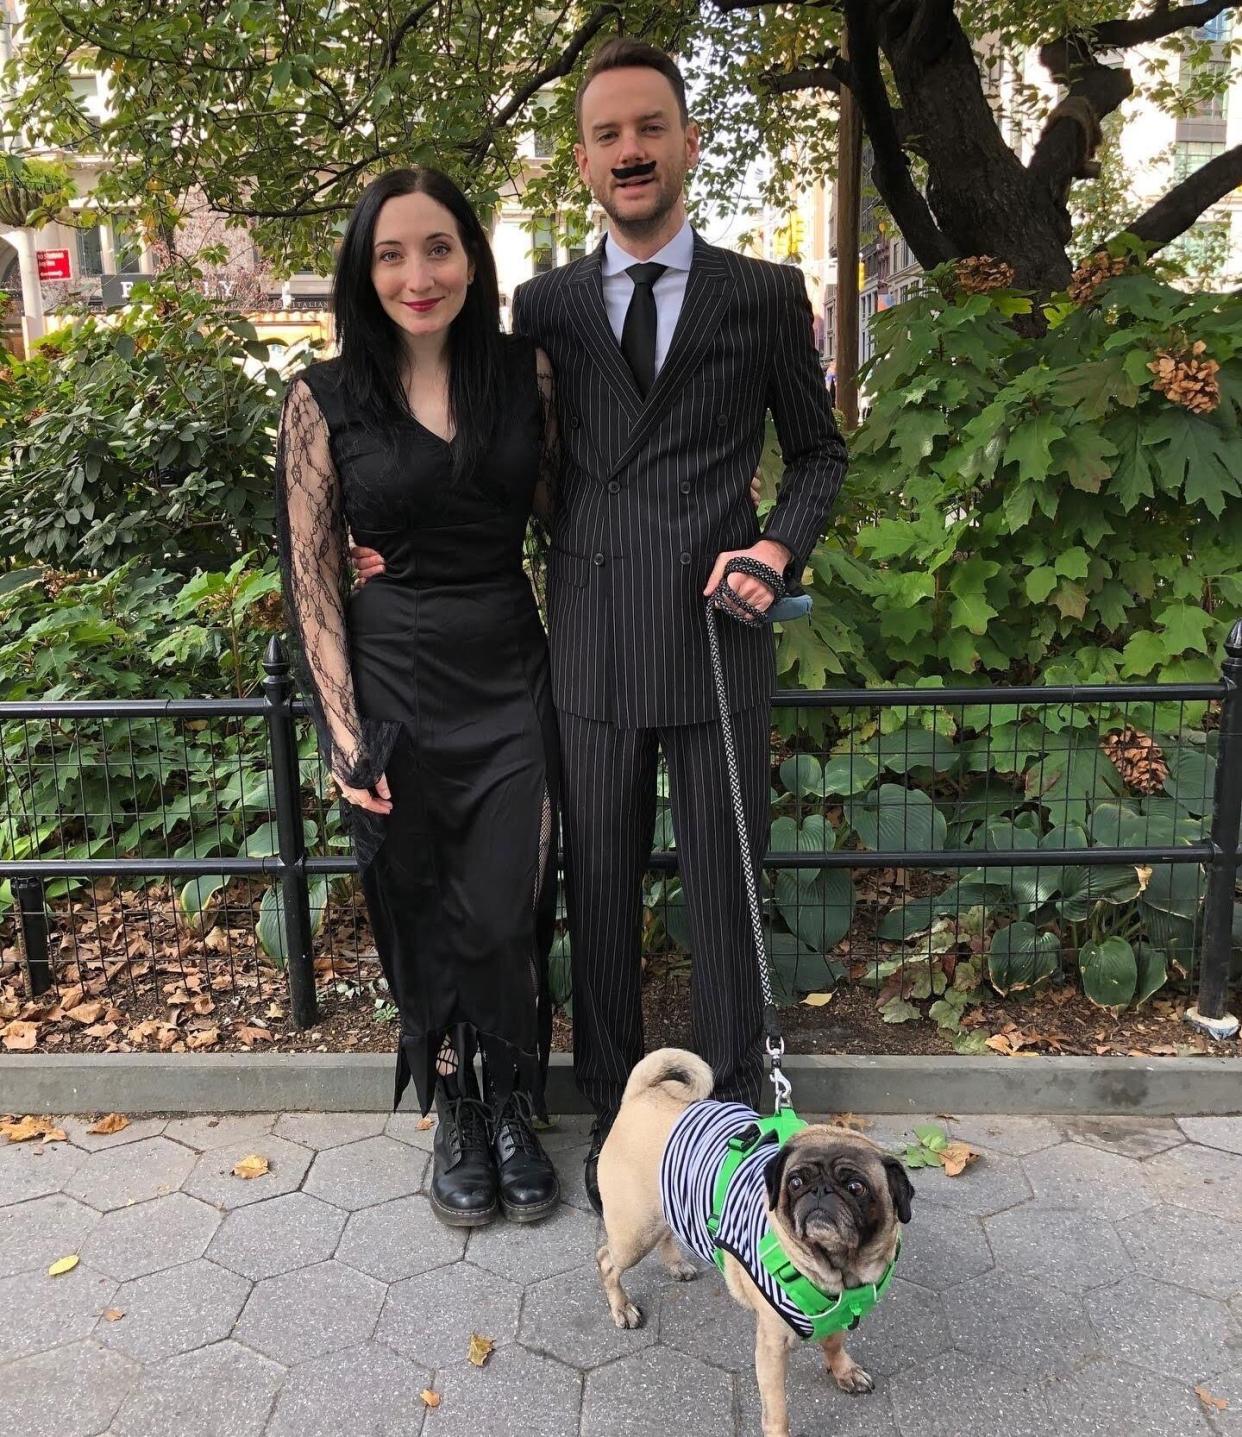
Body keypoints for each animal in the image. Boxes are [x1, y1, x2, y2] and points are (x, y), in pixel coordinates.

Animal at [598, 1046, 914, 1437]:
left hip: (663, 1207)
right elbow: (777, 1409)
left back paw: (675, 1265)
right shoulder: (772, 1346)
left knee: (665, 1234)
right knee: (607, 1261)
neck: (840, 1270)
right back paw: (622, 1307)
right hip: (634, 1233)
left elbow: (834, 1342)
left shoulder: (838, 1319)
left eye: (856, 1187)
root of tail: (640, 1096)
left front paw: (843, 1370)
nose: (820, 1191)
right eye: (795, 1182)